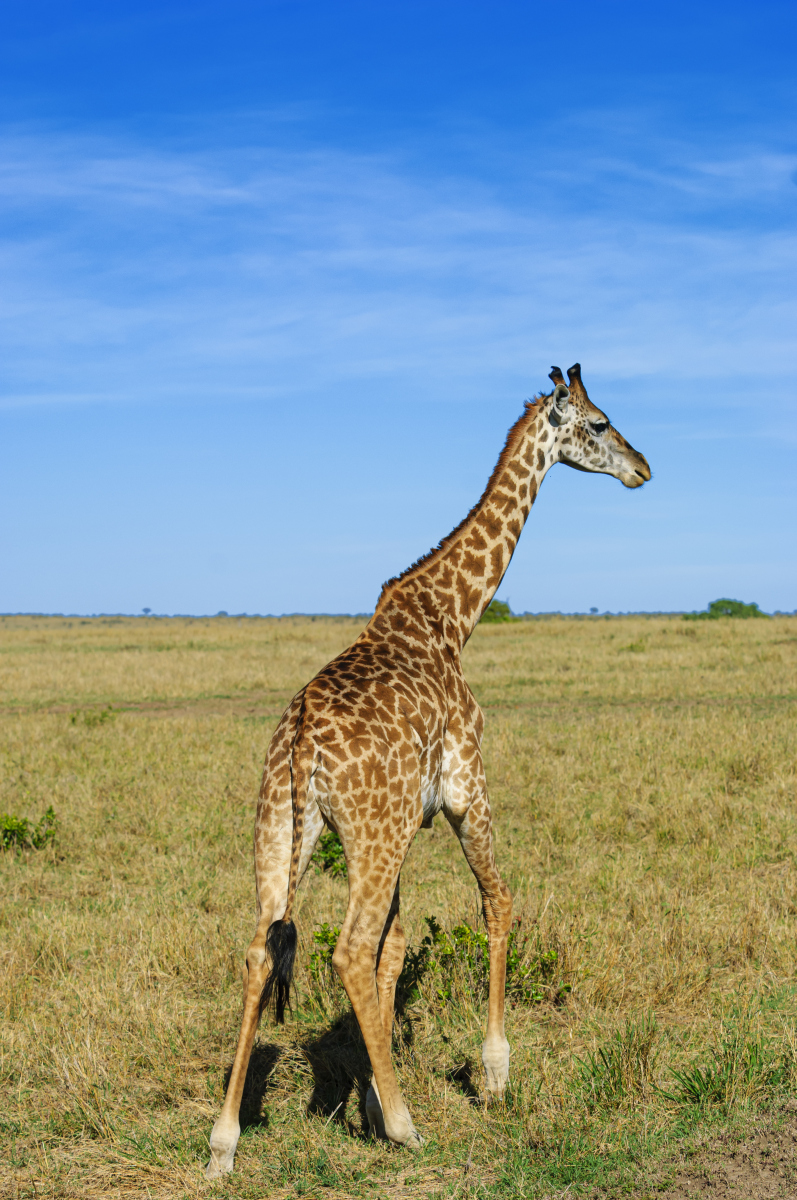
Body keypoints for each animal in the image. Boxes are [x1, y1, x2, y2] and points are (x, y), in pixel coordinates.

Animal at [205, 362, 648, 1171]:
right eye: (599, 423)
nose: (642, 468)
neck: (452, 618)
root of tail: (302, 737)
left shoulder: (405, 822)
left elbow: (397, 949)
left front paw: (372, 1100)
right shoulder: (467, 788)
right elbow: (496, 902)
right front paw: (491, 1075)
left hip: (285, 832)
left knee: (260, 949)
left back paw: (224, 1142)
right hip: (370, 833)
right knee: (347, 950)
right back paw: (412, 1127)